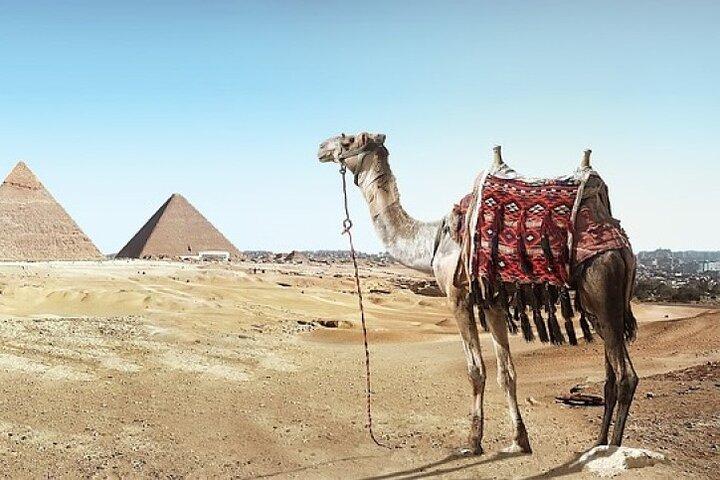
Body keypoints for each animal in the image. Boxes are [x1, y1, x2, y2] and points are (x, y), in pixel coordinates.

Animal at [318, 132, 638, 456]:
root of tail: (621, 245)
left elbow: (476, 370)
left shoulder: (457, 295)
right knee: (611, 376)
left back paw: (613, 448)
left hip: (602, 284)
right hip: (597, 304)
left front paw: (472, 443)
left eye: (347, 140)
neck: (432, 240)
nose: (321, 148)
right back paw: (597, 445)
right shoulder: (491, 301)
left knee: (626, 376)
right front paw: (519, 440)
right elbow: (506, 373)